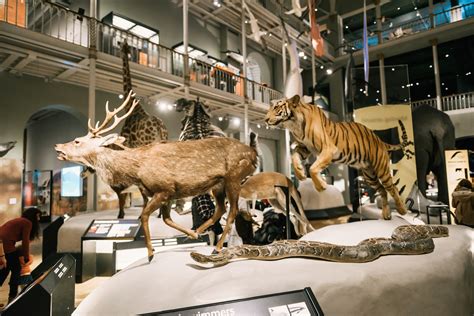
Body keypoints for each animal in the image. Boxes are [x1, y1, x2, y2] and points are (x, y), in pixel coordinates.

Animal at [55, 90, 260, 260]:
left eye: (77, 141)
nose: (57, 146)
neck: (136, 168)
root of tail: (252, 153)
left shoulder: (163, 189)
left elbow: (145, 215)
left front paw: (150, 252)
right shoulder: (170, 192)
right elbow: (167, 219)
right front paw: (190, 234)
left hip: (234, 177)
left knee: (233, 211)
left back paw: (217, 248)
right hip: (218, 184)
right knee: (222, 208)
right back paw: (198, 232)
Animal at [266, 94, 408, 220]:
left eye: (276, 108)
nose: (266, 119)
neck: (294, 124)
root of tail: (379, 140)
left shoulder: (328, 149)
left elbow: (313, 168)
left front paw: (321, 186)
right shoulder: (304, 148)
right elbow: (294, 157)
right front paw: (300, 173)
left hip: (381, 170)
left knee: (393, 188)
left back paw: (402, 210)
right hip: (370, 176)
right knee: (383, 190)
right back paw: (387, 214)